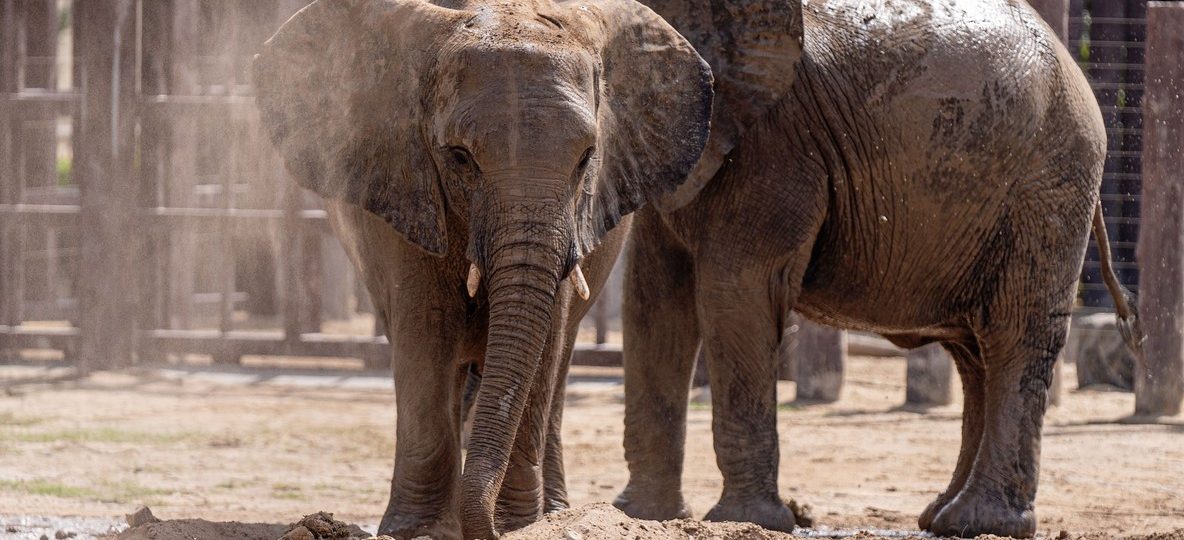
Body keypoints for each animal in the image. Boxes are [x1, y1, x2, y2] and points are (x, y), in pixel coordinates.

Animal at [251, 0, 712, 538]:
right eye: (459, 157)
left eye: (587, 158)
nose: (489, 528)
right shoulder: (405, 182)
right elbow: (426, 331)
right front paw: (416, 530)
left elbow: (544, 341)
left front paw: (520, 527)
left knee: (558, 366)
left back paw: (553, 510)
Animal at [611, 0, 1144, 538]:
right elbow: (652, 298)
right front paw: (642, 515)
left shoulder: (774, 143)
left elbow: (736, 293)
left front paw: (748, 520)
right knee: (976, 355)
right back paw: (942, 517)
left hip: (1047, 185)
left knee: (1014, 336)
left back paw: (981, 521)